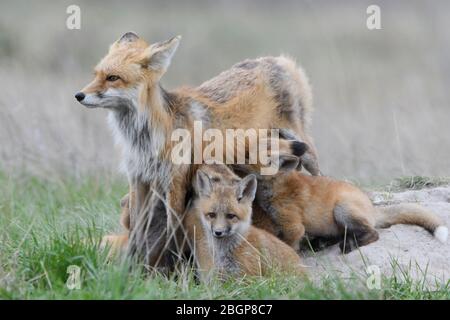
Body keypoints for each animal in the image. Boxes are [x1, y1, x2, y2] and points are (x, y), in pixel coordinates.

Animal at [75, 31, 318, 268]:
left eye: (112, 78)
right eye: (96, 74)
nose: (78, 95)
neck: (144, 140)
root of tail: (276, 59)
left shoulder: (175, 182)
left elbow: (173, 232)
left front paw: (173, 268)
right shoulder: (139, 178)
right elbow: (136, 229)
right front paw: (131, 267)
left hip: (303, 147)